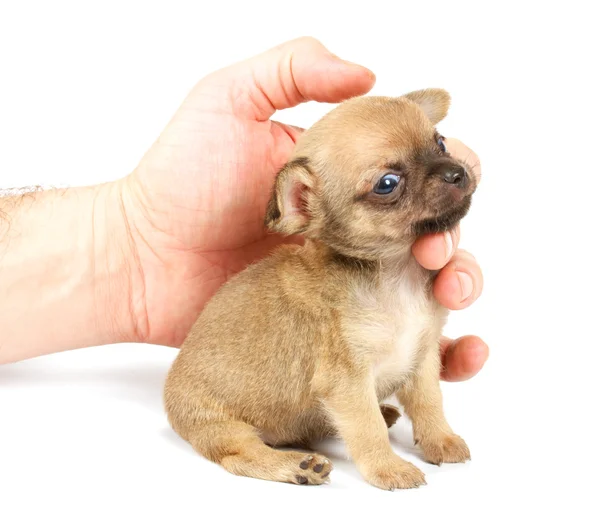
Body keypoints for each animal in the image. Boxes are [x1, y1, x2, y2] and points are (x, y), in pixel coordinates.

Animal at [164, 88, 478, 488]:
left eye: (440, 142)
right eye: (387, 183)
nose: (456, 172)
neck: (395, 274)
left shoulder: (422, 358)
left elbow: (429, 403)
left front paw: (440, 440)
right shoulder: (346, 381)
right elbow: (367, 429)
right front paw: (388, 468)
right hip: (223, 428)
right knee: (240, 456)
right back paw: (298, 466)